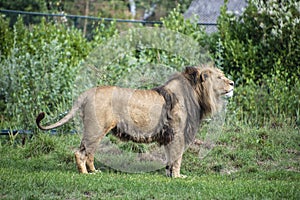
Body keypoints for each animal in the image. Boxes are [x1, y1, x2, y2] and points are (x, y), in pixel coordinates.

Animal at [36, 65, 234, 177]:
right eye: (220, 77)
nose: (232, 83)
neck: (197, 94)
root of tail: (87, 92)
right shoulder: (177, 134)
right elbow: (177, 158)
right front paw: (178, 177)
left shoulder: (169, 136)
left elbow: (170, 158)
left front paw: (169, 175)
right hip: (95, 130)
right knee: (80, 152)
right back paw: (85, 174)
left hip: (97, 131)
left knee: (89, 153)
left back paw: (94, 171)